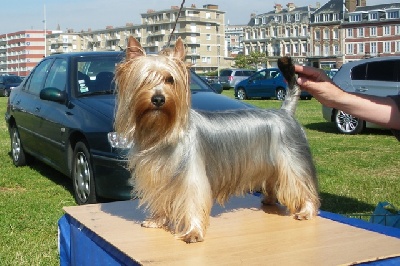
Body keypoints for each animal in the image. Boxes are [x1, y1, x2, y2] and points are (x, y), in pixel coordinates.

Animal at [114, 35, 320, 243]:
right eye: (144, 79)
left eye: (170, 80)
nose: (158, 99)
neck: (161, 129)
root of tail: (285, 112)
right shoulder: (158, 174)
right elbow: (160, 197)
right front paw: (157, 220)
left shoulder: (192, 176)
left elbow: (193, 201)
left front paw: (193, 232)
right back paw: (269, 200)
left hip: (292, 160)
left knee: (302, 184)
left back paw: (306, 211)